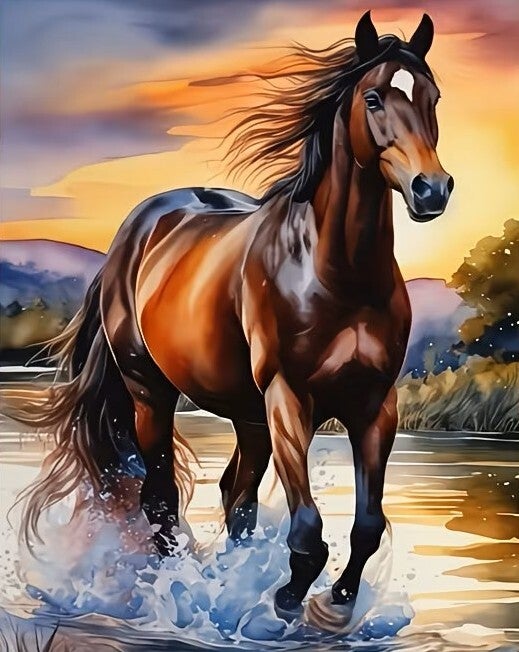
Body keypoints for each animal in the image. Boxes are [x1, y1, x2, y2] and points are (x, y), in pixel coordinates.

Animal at [5, 11, 453, 623]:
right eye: (373, 98)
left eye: (433, 97)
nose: (432, 190)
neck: (336, 273)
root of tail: (134, 233)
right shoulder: (288, 398)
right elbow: (308, 532)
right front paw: (285, 601)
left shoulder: (375, 405)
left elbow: (366, 524)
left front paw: (333, 605)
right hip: (151, 393)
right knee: (160, 498)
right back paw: (173, 588)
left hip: (247, 416)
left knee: (235, 498)